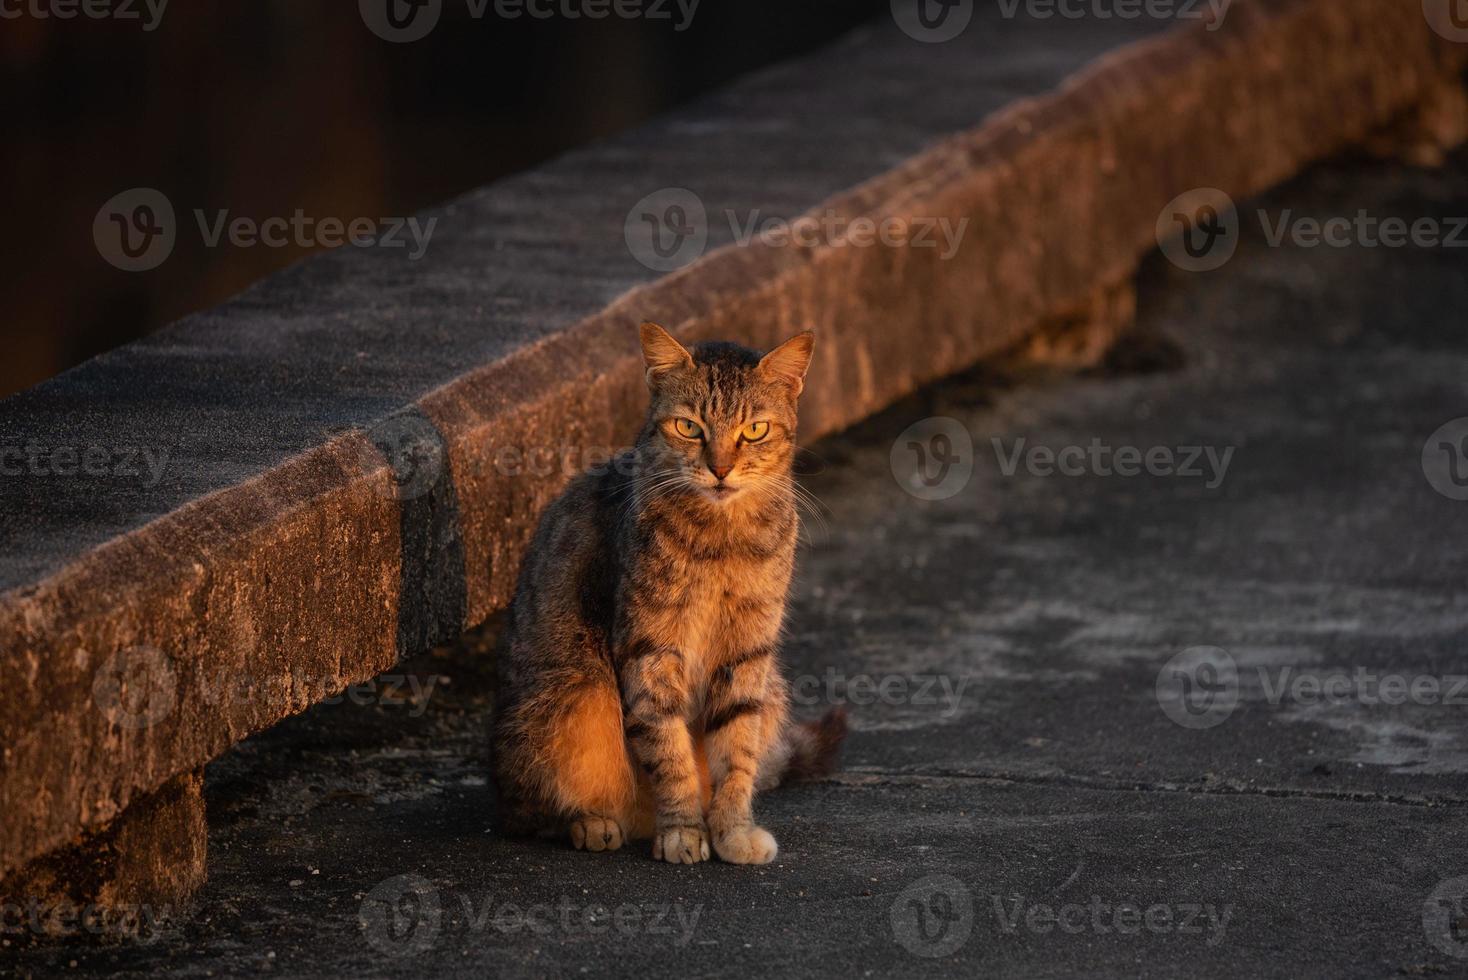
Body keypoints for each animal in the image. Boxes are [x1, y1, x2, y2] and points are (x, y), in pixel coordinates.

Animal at [490, 321, 845, 862]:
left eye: (754, 430)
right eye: (689, 427)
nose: (720, 469)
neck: (722, 537)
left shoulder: (747, 654)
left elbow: (736, 751)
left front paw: (731, 830)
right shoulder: (650, 649)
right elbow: (668, 749)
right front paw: (682, 829)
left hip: (773, 690)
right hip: (570, 696)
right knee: (527, 812)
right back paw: (592, 822)